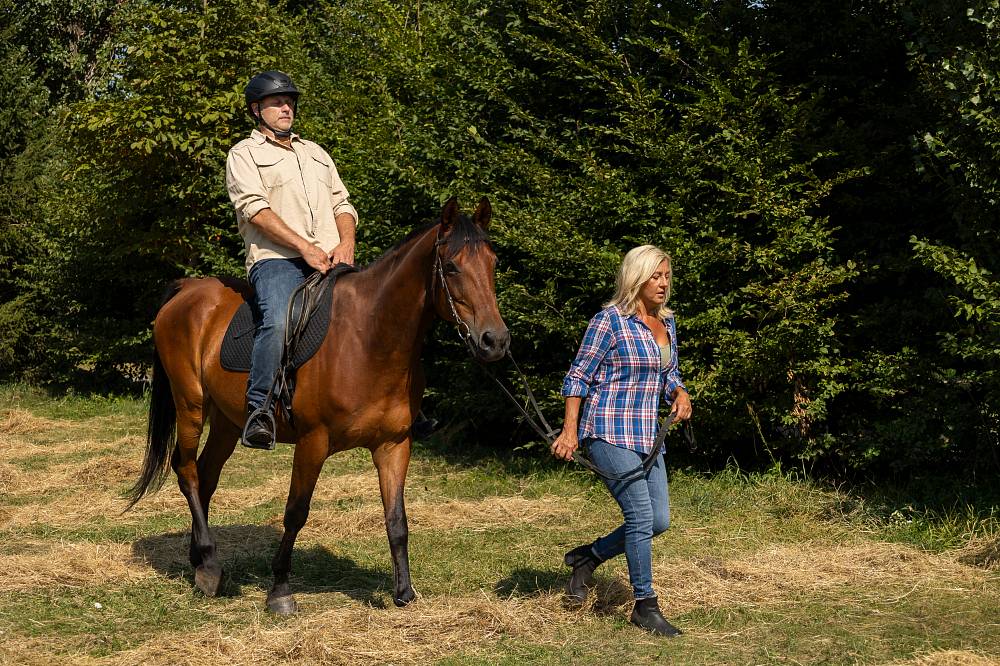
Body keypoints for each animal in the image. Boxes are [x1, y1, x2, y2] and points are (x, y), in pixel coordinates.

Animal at [128, 196, 508, 612]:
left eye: (493, 263)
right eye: (452, 266)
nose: (495, 341)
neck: (369, 338)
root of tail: (187, 290)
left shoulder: (394, 445)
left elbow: (397, 520)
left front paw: (404, 592)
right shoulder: (313, 442)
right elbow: (296, 513)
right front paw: (280, 590)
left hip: (227, 421)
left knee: (205, 476)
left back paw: (200, 560)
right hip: (190, 405)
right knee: (187, 471)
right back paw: (211, 566)